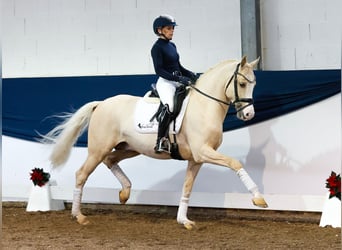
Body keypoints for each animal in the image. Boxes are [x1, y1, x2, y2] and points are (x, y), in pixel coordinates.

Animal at [42, 55, 268, 229]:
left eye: (254, 83)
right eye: (242, 84)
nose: (249, 114)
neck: (204, 106)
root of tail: (101, 104)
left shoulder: (196, 158)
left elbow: (187, 187)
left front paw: (183, 220)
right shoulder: (203, 152)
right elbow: (235, 163)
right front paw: (258, 198)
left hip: (130, 148)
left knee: (110, 160)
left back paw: (125, 193)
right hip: (98, 150)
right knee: (82, 174)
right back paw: (79, 216)